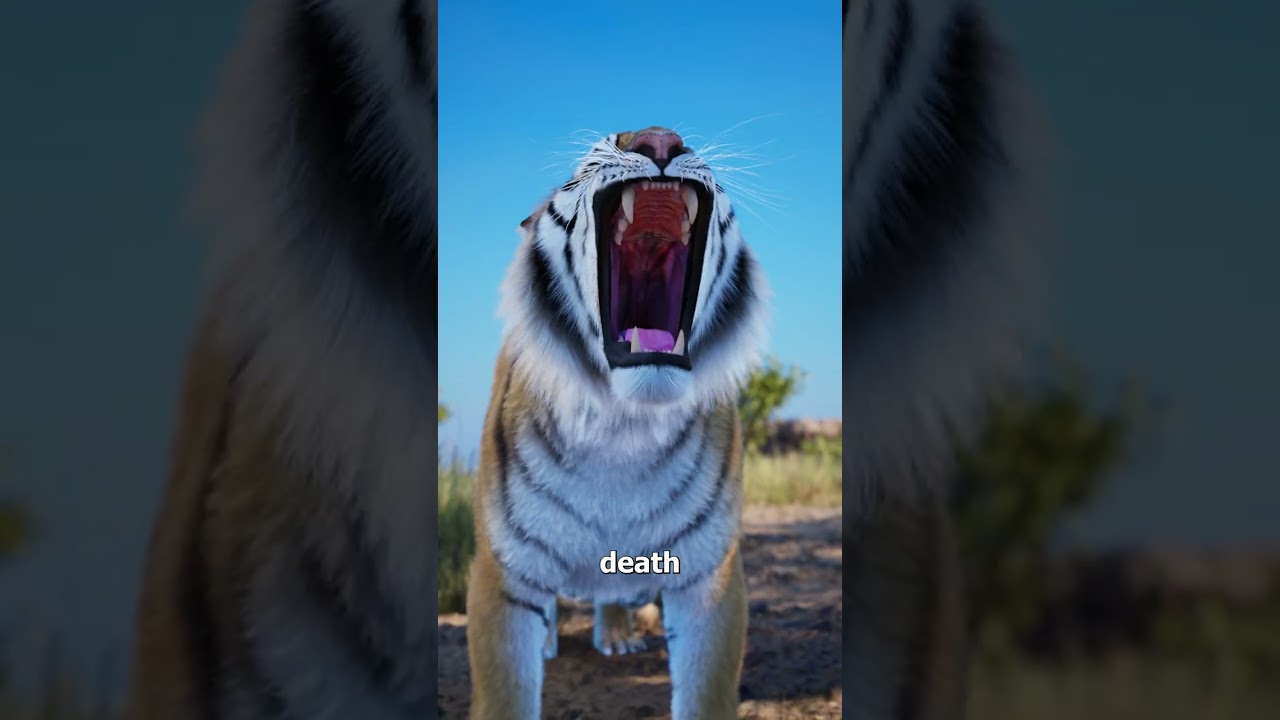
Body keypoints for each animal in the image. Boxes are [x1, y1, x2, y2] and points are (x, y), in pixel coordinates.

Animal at [465, 125, 769, 720]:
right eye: (585, 165)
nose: (661, 139)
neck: (623, 426)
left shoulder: (710, 579)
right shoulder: (503, 574)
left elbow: (706, 691)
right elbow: (507, 691)